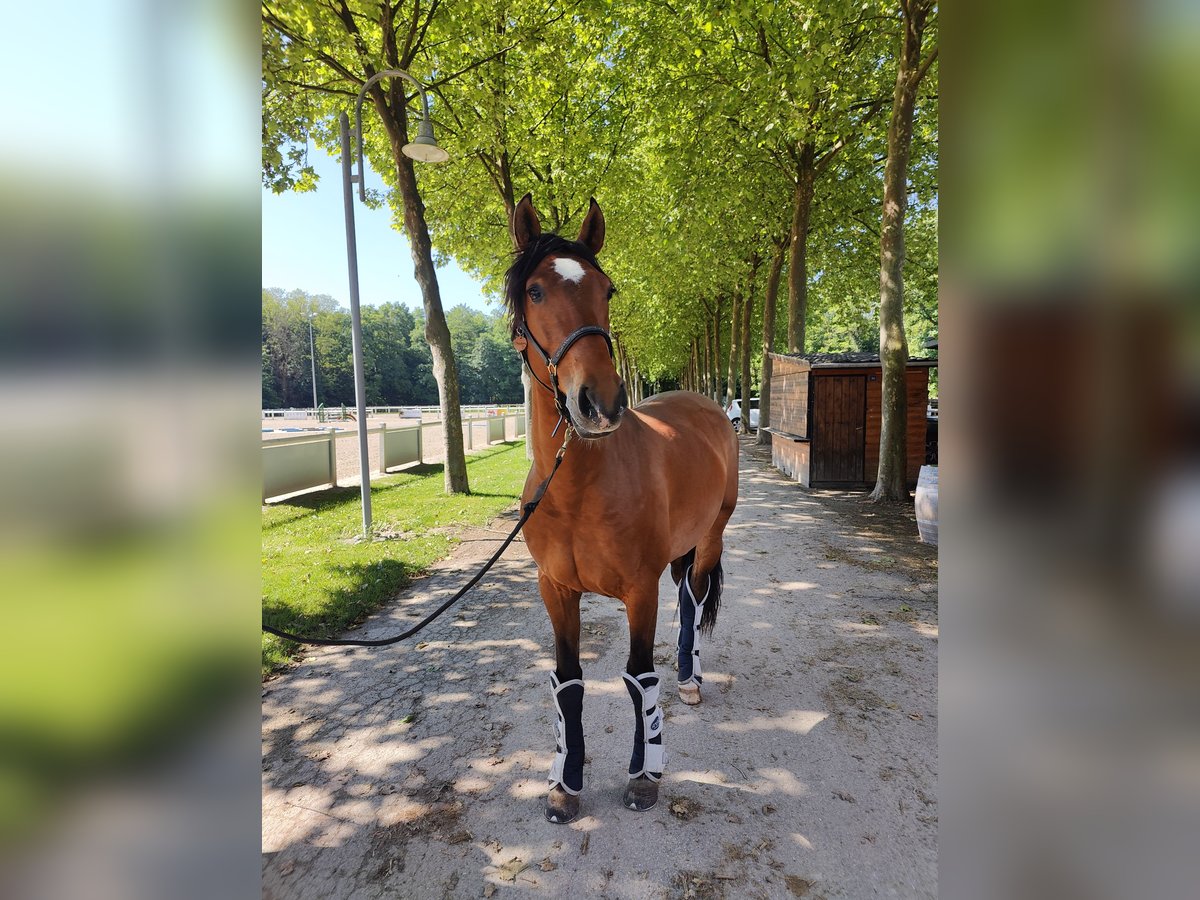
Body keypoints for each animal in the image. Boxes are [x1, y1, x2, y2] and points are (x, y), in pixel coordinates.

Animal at [501, 195, 734, 825]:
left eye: (607, 289)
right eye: (535, 290)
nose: (599, 402)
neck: (577, 489)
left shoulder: (639, 589)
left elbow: (638, 678)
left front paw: (644, 776)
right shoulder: (555, 588)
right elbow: (569, 682)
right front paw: (566, 781)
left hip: (711, 537)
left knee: (693, 597)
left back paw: (690, 678)